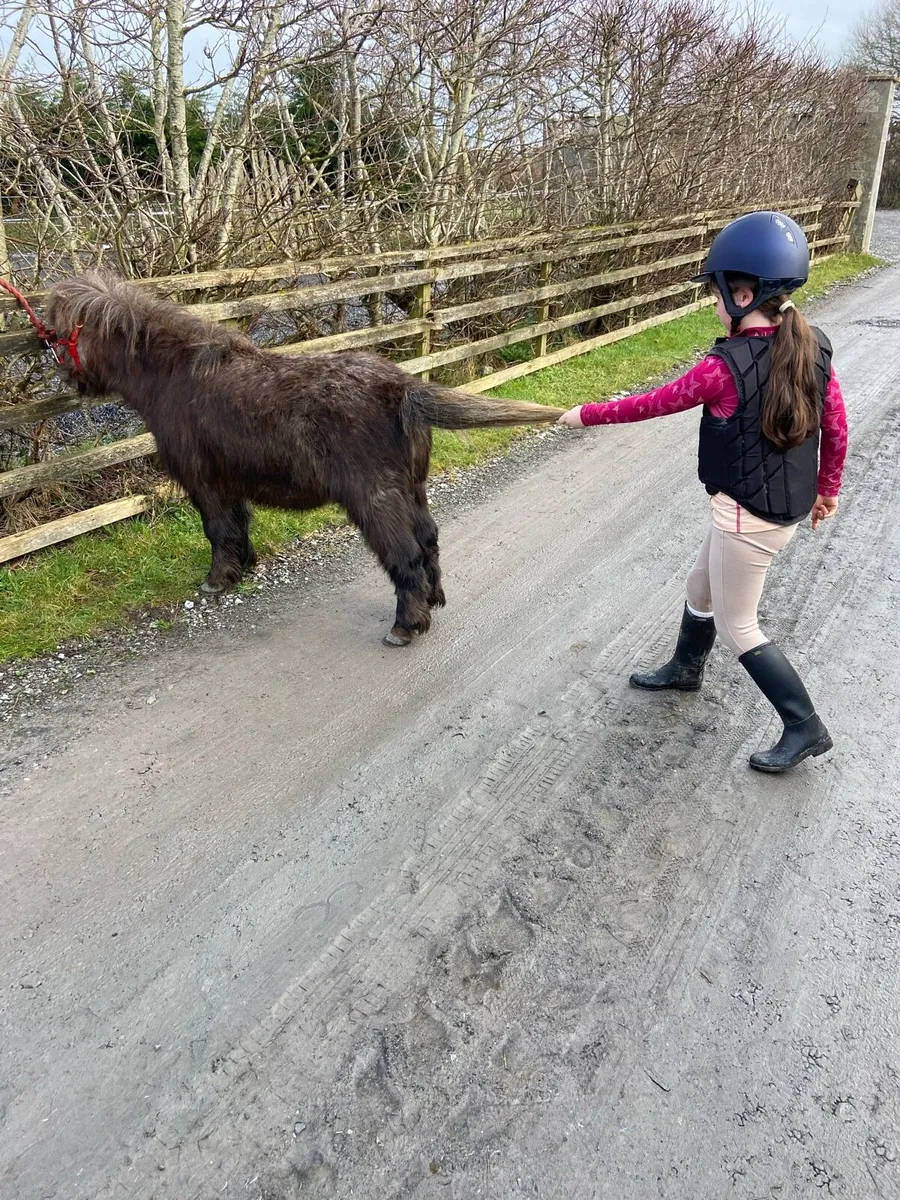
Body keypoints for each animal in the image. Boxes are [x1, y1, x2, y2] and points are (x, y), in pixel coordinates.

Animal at [45, 271, 563, 645]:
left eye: (58, 332)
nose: (65, 377)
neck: (173, 374)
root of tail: (402, 387)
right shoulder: (230, 480)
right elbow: (237, 527)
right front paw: (244, 568)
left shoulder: (204, 481)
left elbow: (217, 531)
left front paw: (217, 581)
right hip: (412, 490)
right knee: (430, 543)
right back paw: (432, 602)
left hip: (375, 499)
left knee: (406, 555)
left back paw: (405, 626)